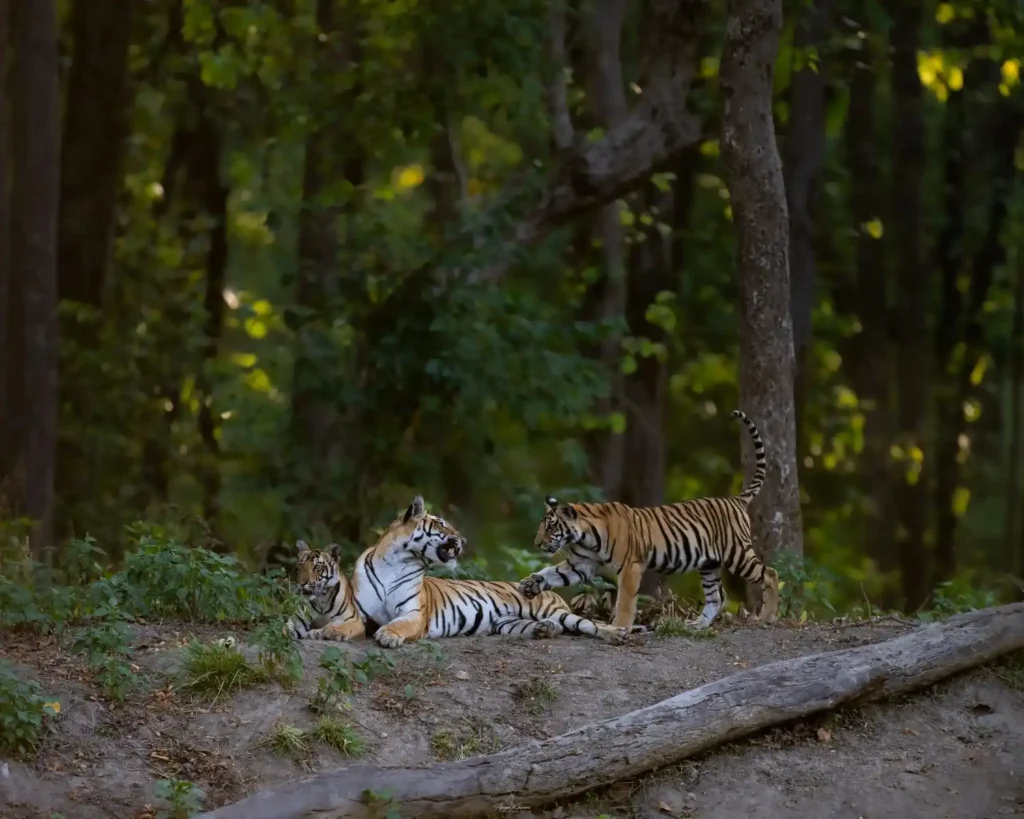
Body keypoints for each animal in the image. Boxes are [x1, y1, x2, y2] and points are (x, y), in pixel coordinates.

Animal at [348, 495, 637, 648]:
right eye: (442, 524)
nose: (463, 540)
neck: (397, 563)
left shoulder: (414, 614)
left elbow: (400, 623)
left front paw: (388, 634)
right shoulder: (358, 610)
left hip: (556, 612)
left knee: (588, 624)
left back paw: (616, 634)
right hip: (508, 623)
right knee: (546, 627)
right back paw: (543, 630)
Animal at [518, 409, 781, 633]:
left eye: (551, 526)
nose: (537, 543)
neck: (584, 537)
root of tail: (735, 498)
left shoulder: (630, 567)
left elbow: (625, 601)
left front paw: (619, 626)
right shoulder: (580, 564)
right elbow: (553, 573)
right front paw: (531, 584)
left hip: (737, 553)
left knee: (770, 574)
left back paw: (767, 618)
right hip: (709, 563)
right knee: (717, 596)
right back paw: (697, 625)